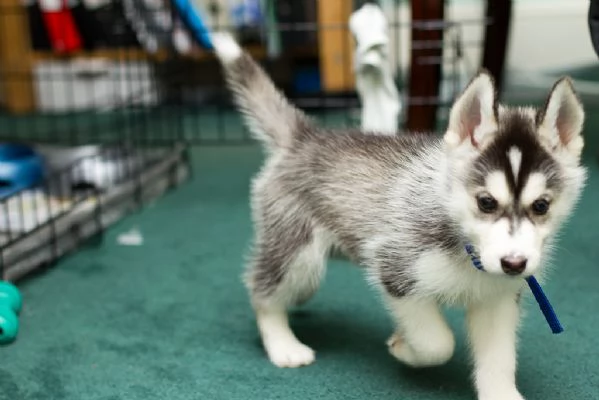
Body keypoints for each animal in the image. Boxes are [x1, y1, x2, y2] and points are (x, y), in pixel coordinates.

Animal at [211, 32, 584, 400]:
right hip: (299, 255)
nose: (514, 264)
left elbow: (498, 361)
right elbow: (438, 343)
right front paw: (404, 348)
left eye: (541, 206)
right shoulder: (396, 269)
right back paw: (283, 344)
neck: (466, 248)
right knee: (262, 291)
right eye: (486, 203)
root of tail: (307, 136)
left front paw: (500, 393)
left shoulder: (498, 300)